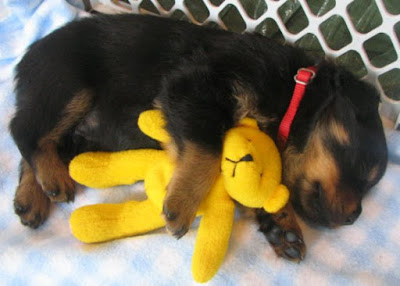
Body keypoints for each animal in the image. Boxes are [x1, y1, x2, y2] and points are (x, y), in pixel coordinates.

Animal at [10, 13, 388, 262]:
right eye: (361, 167)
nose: (354, 217)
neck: (292, 91)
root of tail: (29, 53)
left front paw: (283, 226)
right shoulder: (194, 84)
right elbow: (208, 147)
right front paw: (182, 204)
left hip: (79, 130)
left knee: (37, 141)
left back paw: (32, 197)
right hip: (68, 83)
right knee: (23, 130)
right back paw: (53, 180)